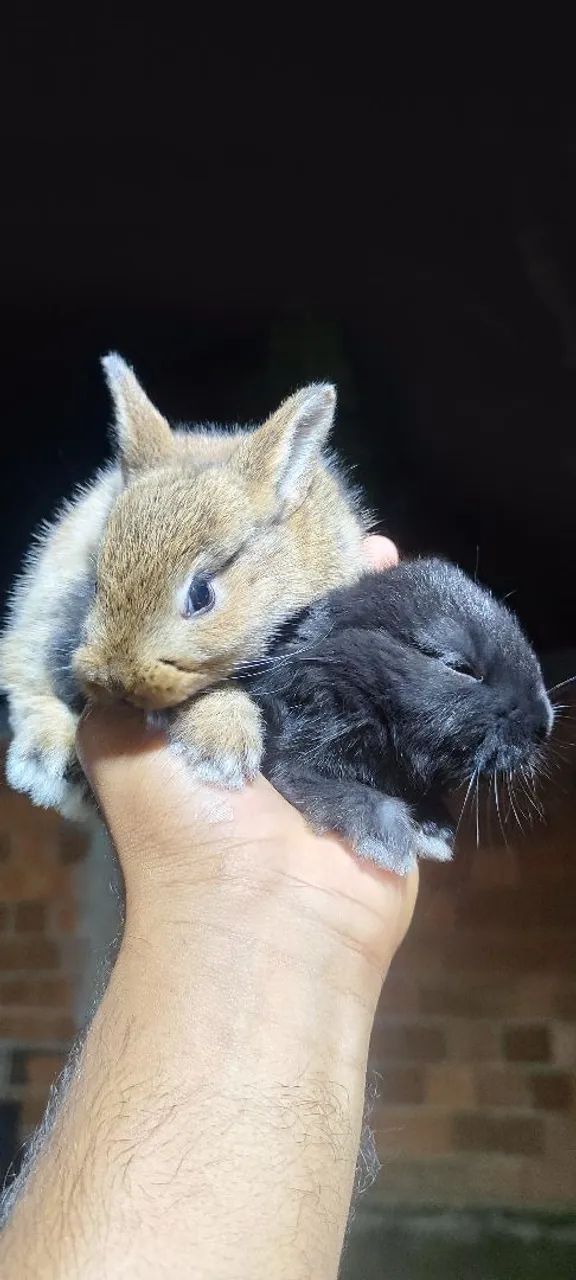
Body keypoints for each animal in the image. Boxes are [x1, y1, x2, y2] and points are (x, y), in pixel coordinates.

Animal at [0, 355, 368, 822]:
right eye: (97, 579)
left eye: (201, 595)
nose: (115, 680)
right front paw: (220, 751)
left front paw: (217, 752)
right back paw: (42, 763)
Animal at [245, 557, 554, 875]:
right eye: (459, 667)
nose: (543, 727)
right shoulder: (292, 757)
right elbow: (339, 790)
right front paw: (386, 844)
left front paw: (435, 831)